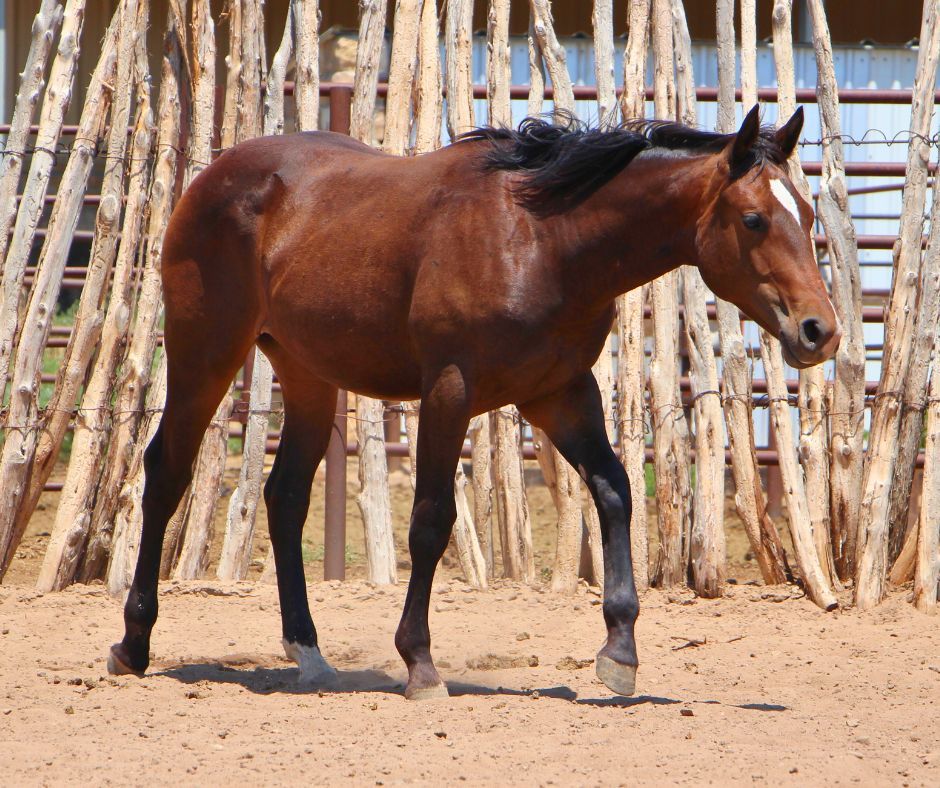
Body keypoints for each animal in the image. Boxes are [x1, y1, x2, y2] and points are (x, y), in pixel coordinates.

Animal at [107, 104, 840, 699]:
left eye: (807, 215)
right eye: (754, 219)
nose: (820, 331)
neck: (544, 242)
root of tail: (213, 174)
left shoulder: (561, 392)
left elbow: (615, 491)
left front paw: (620, 651)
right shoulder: (450, 389)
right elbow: (431, 520)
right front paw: (420, 664)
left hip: (308, 373)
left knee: (285, 494)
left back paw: (309, 655)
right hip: (205, 353)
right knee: (166, 472)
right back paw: (133, 644)